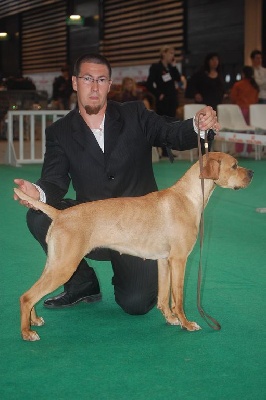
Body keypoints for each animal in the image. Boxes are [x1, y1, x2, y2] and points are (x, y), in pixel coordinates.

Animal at [13, 153, 252, 340]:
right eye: (234, 165)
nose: (251, 173)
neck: (188, 197)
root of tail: (60, 214)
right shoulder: (179, 260)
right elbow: (178, 297)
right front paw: (186, 323)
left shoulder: (164, 260)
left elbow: (164, 297)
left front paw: (170, 319)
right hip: (64, 266)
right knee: (26, 296)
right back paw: (27, 332)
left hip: (55, 263)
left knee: (31, 293)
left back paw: (35, 320)